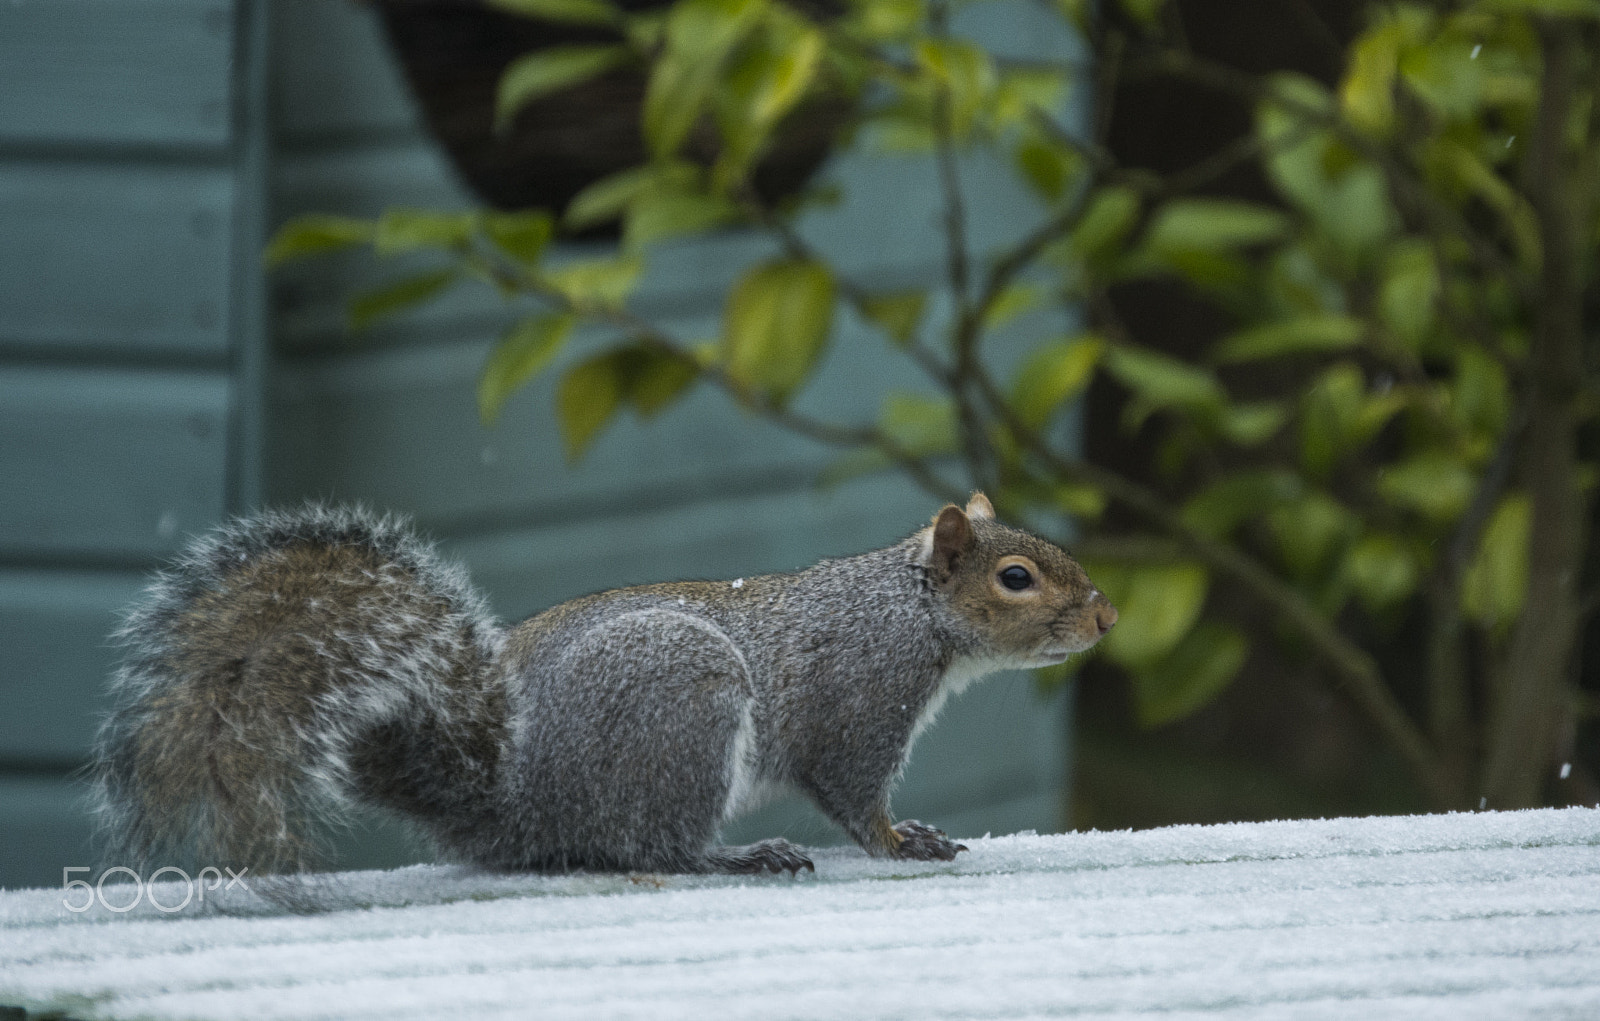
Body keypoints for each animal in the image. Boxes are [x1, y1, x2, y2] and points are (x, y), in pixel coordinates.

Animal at [92, 493, 1117, 878]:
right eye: (1016, 577)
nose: (1106, 617)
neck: (908, 610)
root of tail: (510, 803)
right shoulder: (860, 695)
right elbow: (853, 790)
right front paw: (903, 839)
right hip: (687, 702)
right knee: (651, 846)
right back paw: (739, 856)